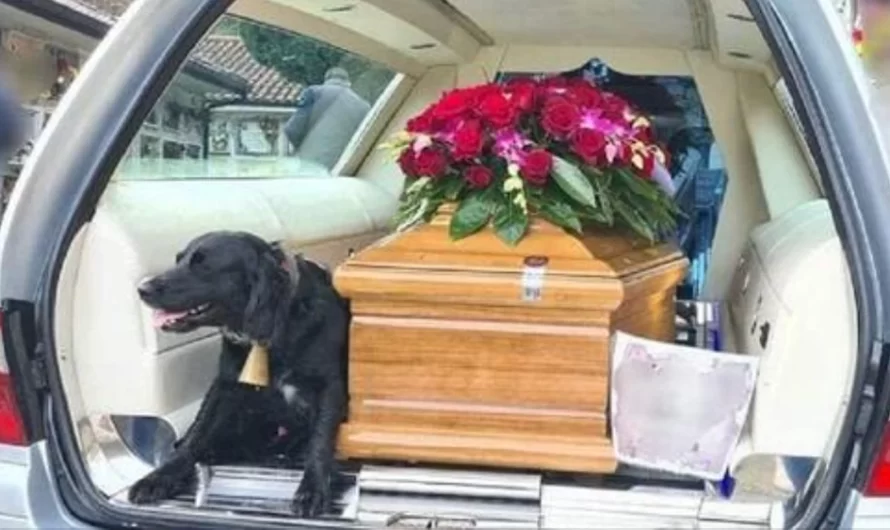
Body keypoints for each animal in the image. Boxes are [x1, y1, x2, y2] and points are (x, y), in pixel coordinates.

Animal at [129, 229, 350, 512]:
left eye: (203, 265)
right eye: (179, 260)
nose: (142, 289)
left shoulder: (329, 387)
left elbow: (320, 440)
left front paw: (312, 489)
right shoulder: (226, 384)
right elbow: (196, 435)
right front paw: (159, 477)